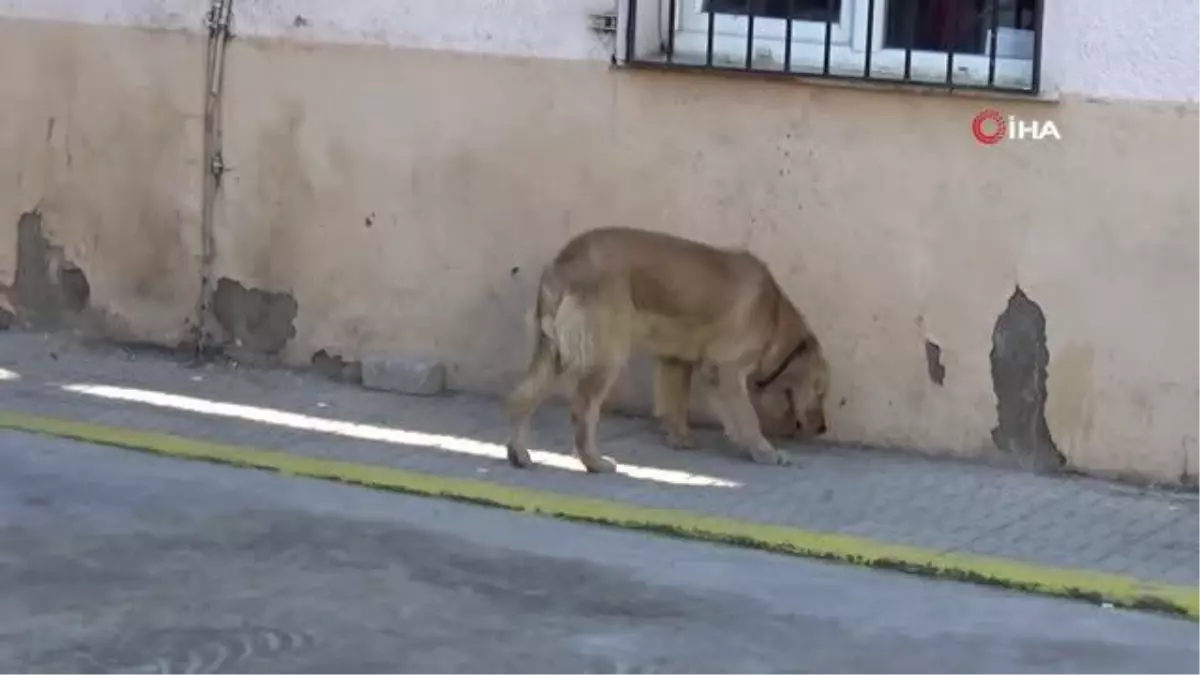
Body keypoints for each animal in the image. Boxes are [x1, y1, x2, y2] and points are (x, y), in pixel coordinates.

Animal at [501, 225, 830, 473]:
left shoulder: (675, 360)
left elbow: (675, 402)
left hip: (552, 353)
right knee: (582, 410)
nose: (823, 429)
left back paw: (519, 453)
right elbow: (747, 417)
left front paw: (680, 438)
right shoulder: (725, 369)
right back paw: (594, 462)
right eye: (820, 391)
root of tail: (564, 260)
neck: (774, 315)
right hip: (607, 355)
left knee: (522, 396)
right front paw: (764, 452)